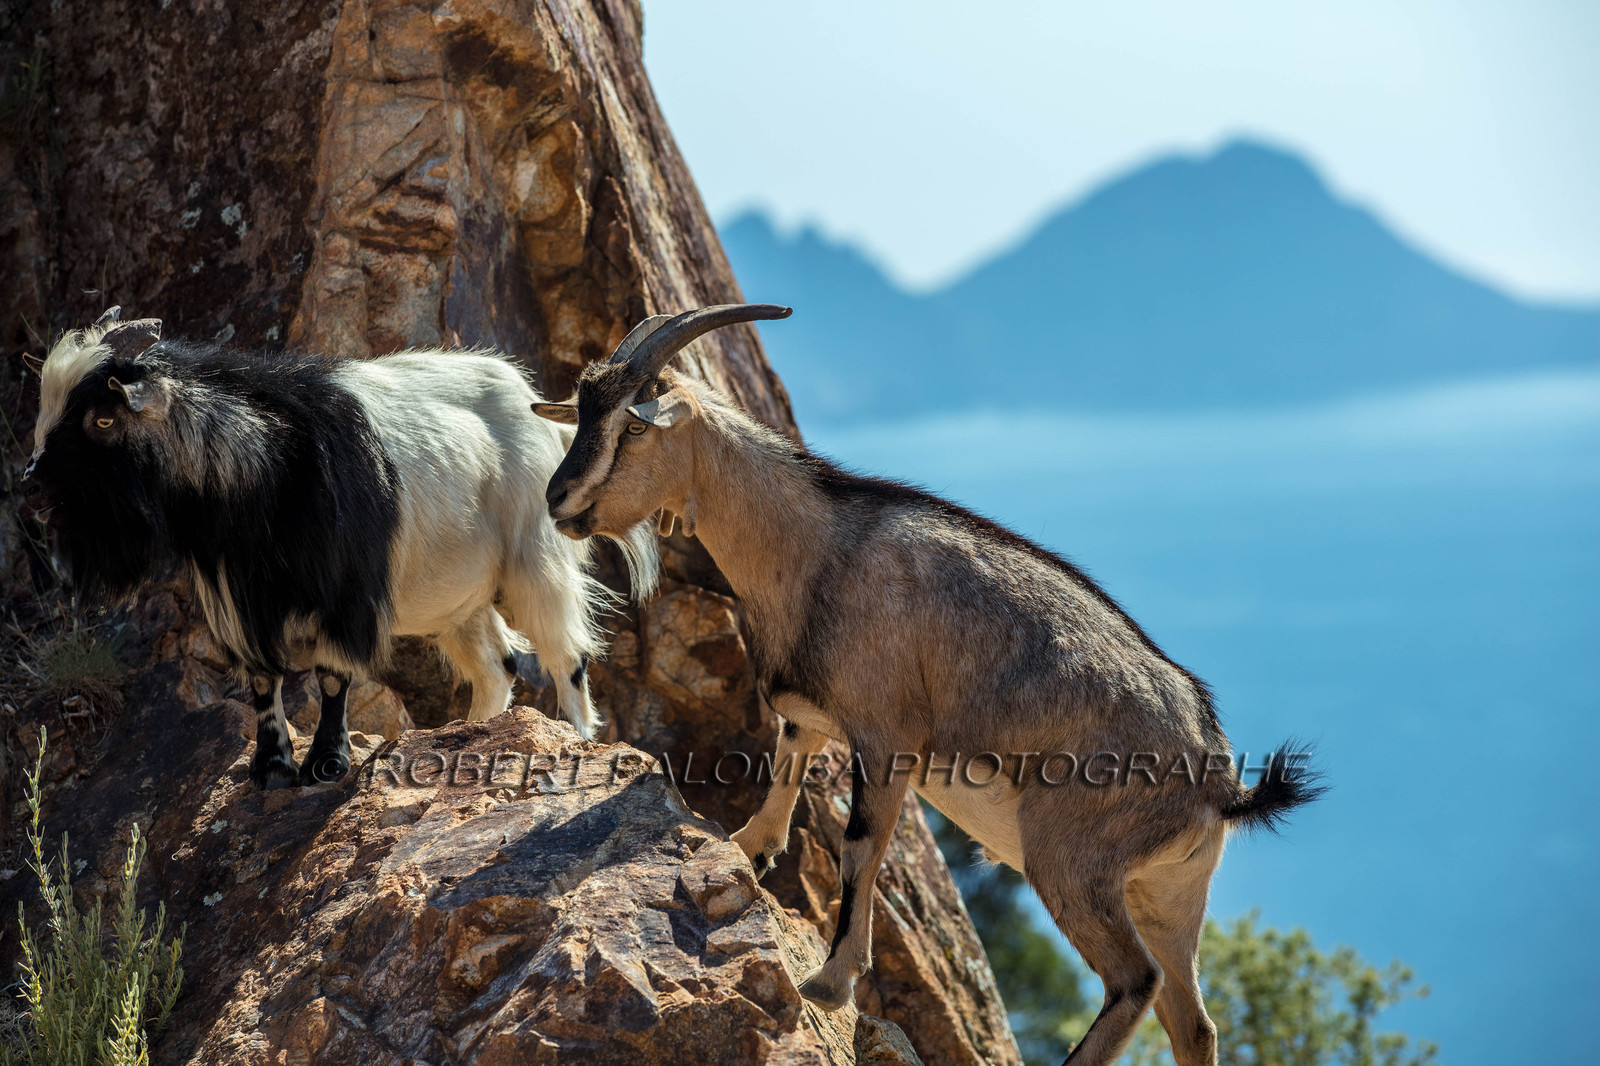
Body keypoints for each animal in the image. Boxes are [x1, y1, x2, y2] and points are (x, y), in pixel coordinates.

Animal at [23, 308, 657, 790]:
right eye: (46, 409)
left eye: (102, 420)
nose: (31, 485)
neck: (268, 462)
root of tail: (532, 401)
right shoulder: (239, 600)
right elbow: (262, 683)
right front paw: (270, 769)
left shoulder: (345, 597)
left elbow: (331, 679)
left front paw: (326, 764)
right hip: (460, 600)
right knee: (497, 668)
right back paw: (472, 737)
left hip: (536, 561)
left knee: (566, 659)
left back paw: (577, 742)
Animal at [534, 304, 1324, 1066]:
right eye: (583, 412)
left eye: (635, 426)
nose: (558, 498)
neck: (816, 547)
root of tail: (1220, 783)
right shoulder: (810, 714)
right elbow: (782, 777)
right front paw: (744, 852)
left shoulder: (886, 736)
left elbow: (861, 849)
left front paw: (830, 981)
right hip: (1169, 898)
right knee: (1194, 1026)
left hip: (1073, 864)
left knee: (1135, 982)